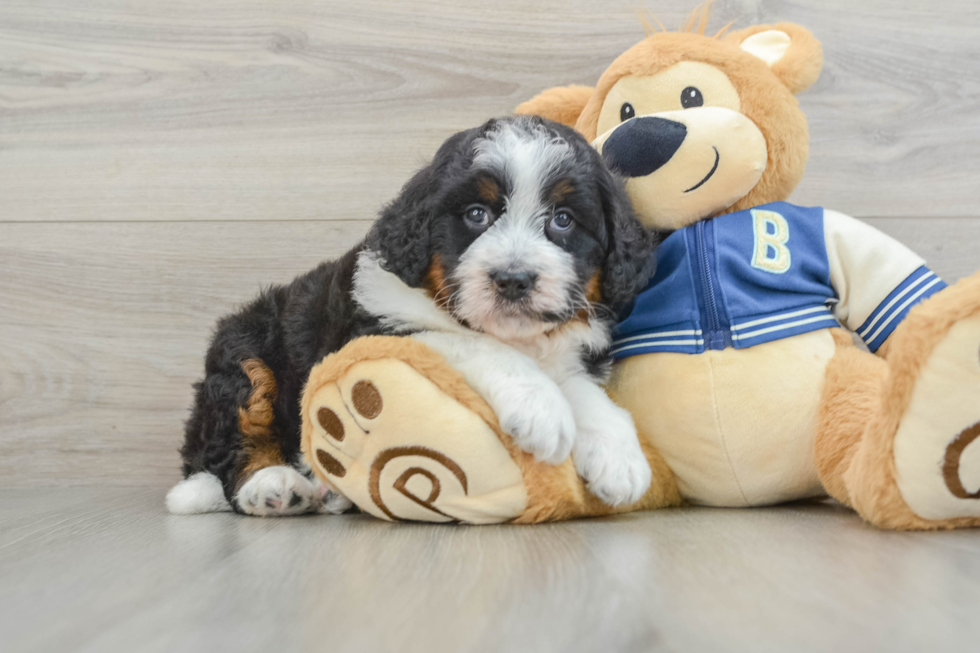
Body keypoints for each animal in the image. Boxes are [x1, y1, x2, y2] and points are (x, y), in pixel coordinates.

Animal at [167, 116, 660, 516]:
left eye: (562, 220)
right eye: (476, 214)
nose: (513, 279)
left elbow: (579, 386)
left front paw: (618, 455)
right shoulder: (377, 329)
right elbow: (473, 344)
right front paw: (539, 406)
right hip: (244, 354)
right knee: (232, 447)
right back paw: (271, 486)